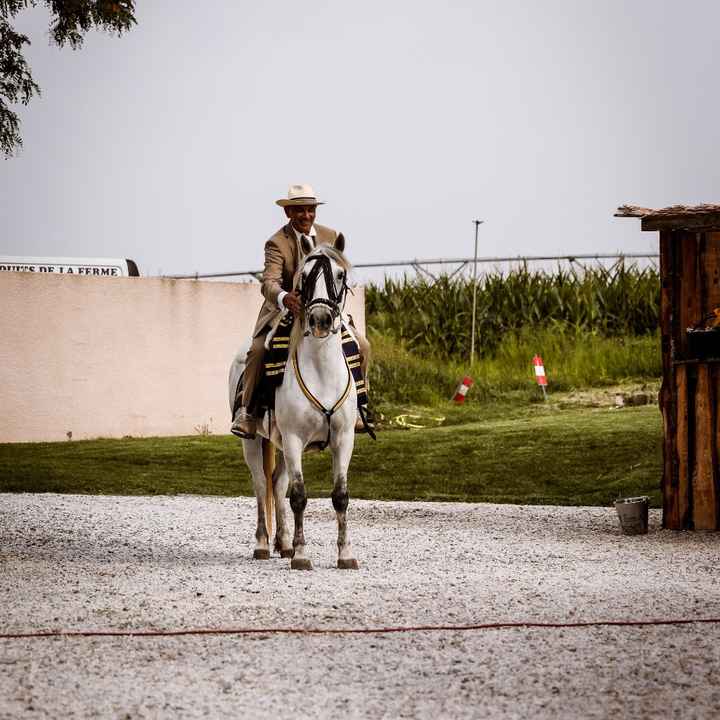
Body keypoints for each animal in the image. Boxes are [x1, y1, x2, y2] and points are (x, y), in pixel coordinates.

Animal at [226, 239, 358, 572]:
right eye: (305, 276)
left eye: (339, 274)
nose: (321, 320)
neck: (322, 371)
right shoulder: (295, 439)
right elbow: (299, 496)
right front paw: (301, 555)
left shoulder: (343, 439)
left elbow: (340, 495)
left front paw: (345, 555)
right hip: (255, 441)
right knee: (261, 485)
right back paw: (263, 545)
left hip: (281, 444)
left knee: (276, 483)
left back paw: (282, 543)